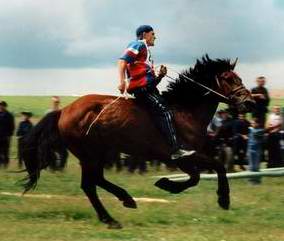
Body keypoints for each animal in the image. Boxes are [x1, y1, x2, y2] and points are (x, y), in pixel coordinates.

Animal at [21, 55, 254, 229]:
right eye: (229, 78)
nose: (250, 102)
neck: (184, 111)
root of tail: (63, 111)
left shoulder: (183, 159)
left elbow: (198, 176)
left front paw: (166, 184)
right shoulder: (183, 156)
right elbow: (216, 167)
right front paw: (222, 199)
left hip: (99, 153)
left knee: (94, 182)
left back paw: (122, 204)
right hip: (90, 154)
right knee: (90, 184)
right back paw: (114, 215)